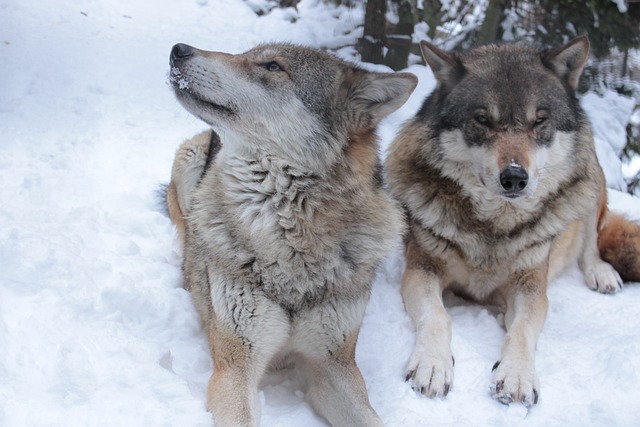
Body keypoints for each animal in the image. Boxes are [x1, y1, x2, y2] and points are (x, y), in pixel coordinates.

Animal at [165, 41, 418, 426]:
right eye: (245, 54)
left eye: (272, 66)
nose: (178, 49)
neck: (292, 242)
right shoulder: (235, 366)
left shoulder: (335, 365)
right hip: (189, 160)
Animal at [384, 36, 640, 408]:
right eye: (482, 119)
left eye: (539, 121)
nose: (515, 177)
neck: (494, 226)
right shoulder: (421, 270)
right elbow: (438, 317)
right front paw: (432, 366)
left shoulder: (531, 287)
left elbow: (521, 331)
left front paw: (517, 376)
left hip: (590, 177)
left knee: (593, 240)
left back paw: (601, 273)